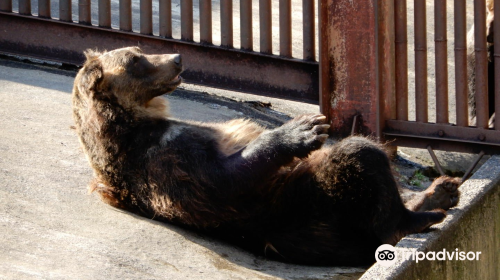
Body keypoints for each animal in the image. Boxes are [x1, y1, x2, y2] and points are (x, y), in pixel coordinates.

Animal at [73, 47, 460, 266]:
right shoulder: (163, 161)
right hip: (315, 205)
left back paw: (441, 190)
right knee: (361, 157)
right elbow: (223, 181)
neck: (135, 120)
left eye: (138, 49)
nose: (177, 57)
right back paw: (420, 216)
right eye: (135, 59)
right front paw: (302, 128)